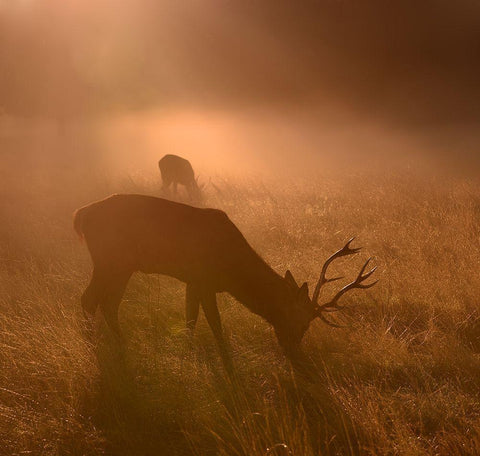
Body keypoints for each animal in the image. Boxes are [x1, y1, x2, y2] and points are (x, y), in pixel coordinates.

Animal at [73, 194, 376, 358]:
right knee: (90, 299)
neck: (232, 271)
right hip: (111, 260)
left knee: (106, 302)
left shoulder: (192, 281)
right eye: (302, 323)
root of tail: (80, 214)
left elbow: (190, 319)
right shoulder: (204, 280)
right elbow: (216, 326)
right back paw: (99, 348)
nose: (294, 353)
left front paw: (188, 353)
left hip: (120, 265)